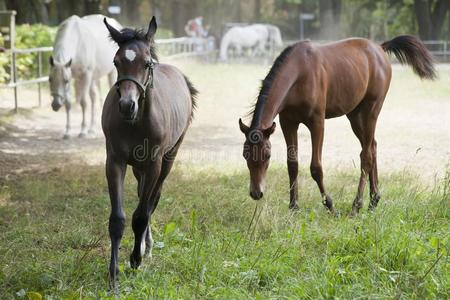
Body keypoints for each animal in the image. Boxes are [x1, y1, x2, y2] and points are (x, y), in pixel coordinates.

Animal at [104, 17, 199, 288]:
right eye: (116, 62)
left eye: (146, 63)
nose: (127, 105)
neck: (136, 122)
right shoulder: (114, 161)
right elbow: (118, 219)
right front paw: (113, 273)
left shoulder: (154, 164)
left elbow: (141, 214)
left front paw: (135, 259)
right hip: (138, 167)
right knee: (142, 196)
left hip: (167, 159)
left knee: (151, 201)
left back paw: (146, 247)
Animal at [239, 35, 436, 214]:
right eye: (245, 155)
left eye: (267, 156)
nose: (256, 193)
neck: (299, 74)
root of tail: (380, 48)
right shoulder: (288, 122)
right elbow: (292, 164)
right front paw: (294, 207)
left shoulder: (317, 123)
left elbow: (316, 168)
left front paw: (330, 206)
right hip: (354, 116)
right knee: (372, 146)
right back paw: (373, 201)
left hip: (371, 110)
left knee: (366, 155)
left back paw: (357, 205)